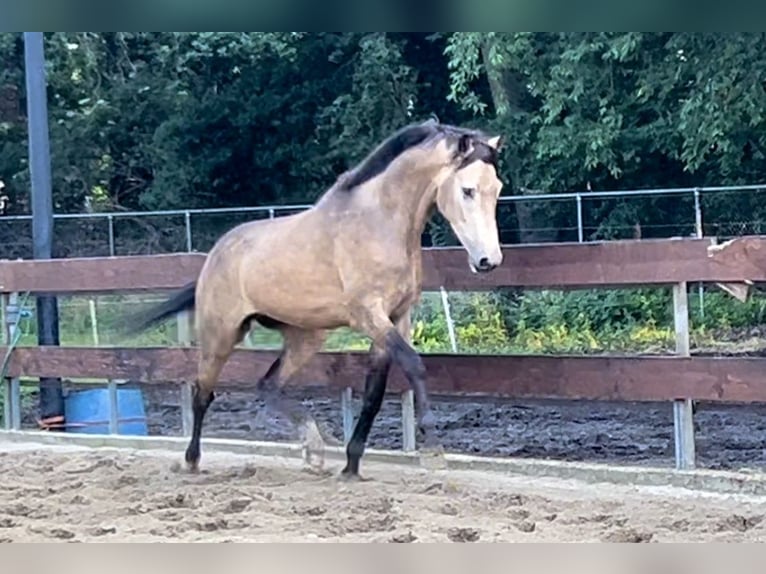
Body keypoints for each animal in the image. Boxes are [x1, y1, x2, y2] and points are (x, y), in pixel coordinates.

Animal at [127, 119, 504, 480]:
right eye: (467, 190)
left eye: (497, 189)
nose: (489, 261)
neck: (378, 224)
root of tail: (215, 255)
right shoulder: (368, 314)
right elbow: (414, 365)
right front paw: (434, 448)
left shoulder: (396, 317)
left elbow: (374, 393)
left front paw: (351, 465)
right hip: (221, 335)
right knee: (203, 392)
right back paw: (192, 461)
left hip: (305, 337)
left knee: (268, 385)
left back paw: (315, 448)